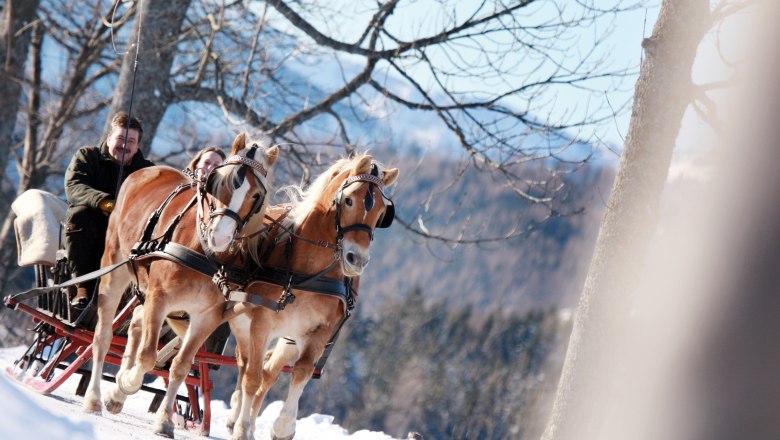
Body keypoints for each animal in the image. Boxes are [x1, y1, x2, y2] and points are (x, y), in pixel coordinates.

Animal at [79, 131, 278, 436]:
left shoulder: (207, 317)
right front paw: (125, 384)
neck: (206, 255)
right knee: (103, 335)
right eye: (218, 183)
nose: (220, 237)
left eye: (256, 196)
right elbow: (148, 357)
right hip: (115, 266)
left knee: (135, 322)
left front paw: (163, 420)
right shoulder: (160, 299)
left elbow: (181, 366)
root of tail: (146, 171)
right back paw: (94, 398)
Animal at [224, 152, 396, 440]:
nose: (357, 260)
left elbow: (301, 372)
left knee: (268, 370)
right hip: (242, 322)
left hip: (290, 337)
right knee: (246, 363)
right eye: (349, 200)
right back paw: (237, 415)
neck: (310, 269)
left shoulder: (319, 332)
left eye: (382, 212)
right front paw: (241, 427)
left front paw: (283, 427)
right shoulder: (261, 322)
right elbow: (252, 376)